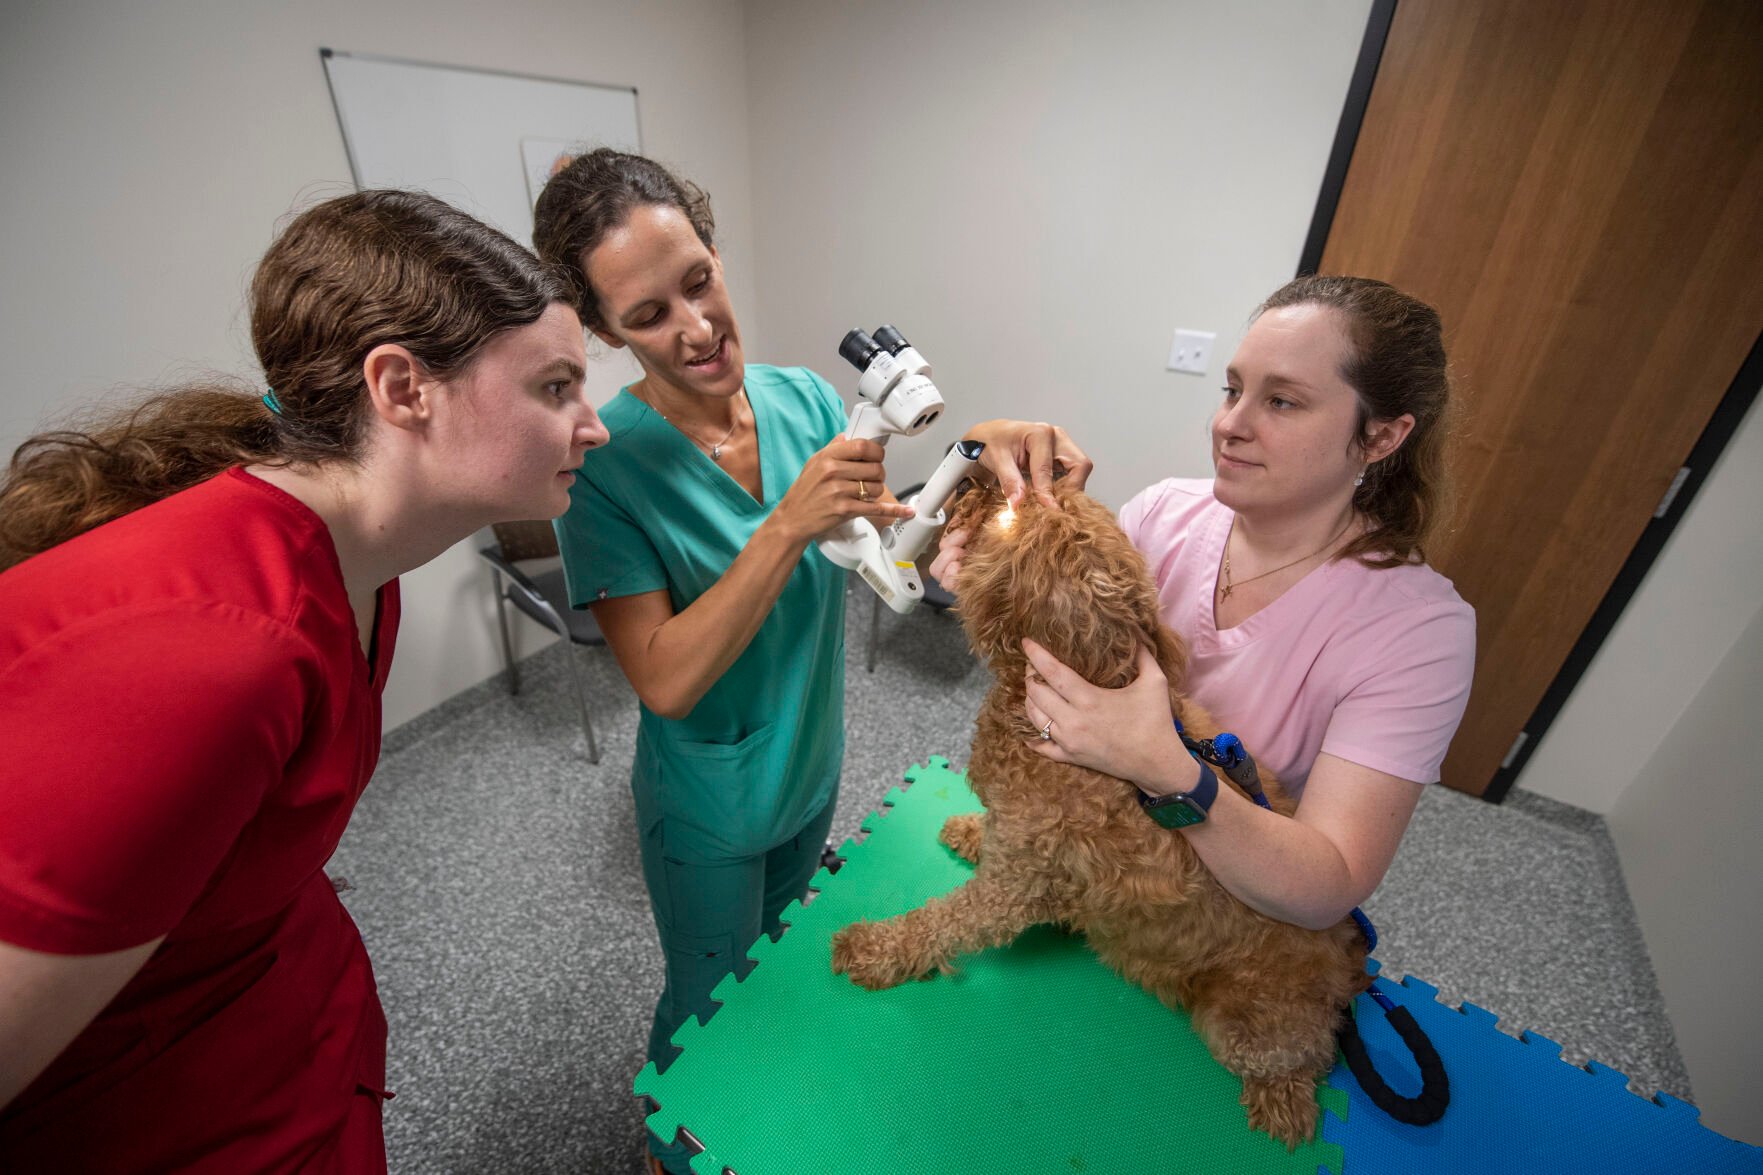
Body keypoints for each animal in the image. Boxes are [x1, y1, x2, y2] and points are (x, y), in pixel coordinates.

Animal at [832, 479, 1368, 1143]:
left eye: (1012, 513)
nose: (980, 475)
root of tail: (1348, 956)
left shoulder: (1010, 892)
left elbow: (941, 924)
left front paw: (874, 947)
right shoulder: (1021, 848)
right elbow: (991, 839)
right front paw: (970, 830)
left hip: (1249, 1024)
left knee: (1304, 1058)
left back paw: (1285, 1108)